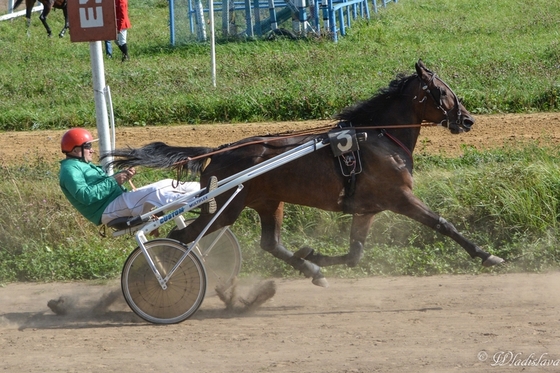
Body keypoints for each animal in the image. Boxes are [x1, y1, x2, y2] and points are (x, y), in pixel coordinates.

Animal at [108, 60, 504, 284]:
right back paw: (160, 278)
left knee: (269, 243)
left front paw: (313, 257)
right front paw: (488, 256)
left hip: (268, 202)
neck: (378, 137)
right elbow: (444, 224)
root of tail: (217, 151)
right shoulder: (400, 198)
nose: (467, 120)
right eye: (442, 91)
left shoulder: (368, 209)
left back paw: (310, 270)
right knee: (180, 239)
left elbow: (355, 254)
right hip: (226, 207)